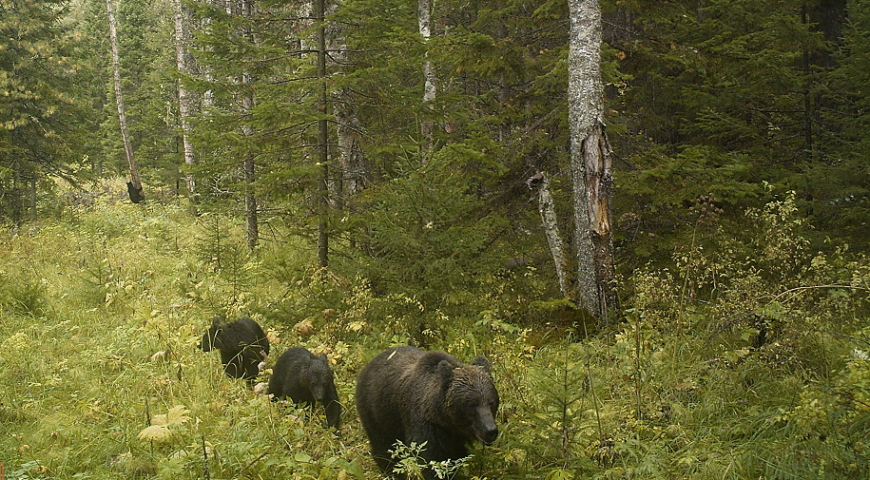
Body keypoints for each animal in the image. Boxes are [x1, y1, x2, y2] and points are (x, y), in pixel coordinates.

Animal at [355, 346, 500, 479]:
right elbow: (431, 459)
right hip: (378, 413)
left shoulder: (453, 435)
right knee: (385, 448)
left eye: (491, 402)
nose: (490, 430)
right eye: (471, 404)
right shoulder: (423, 423)